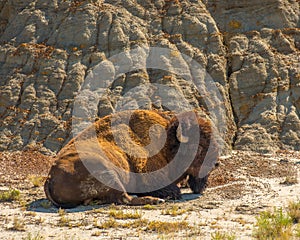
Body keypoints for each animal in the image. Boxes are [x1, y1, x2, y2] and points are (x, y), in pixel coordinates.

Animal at [44, 109, 218, 207]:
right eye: (199, 146)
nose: (216, 163)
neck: (168, 142)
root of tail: (50, 177)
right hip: (108, 173)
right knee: (125, 199)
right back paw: (155, 200)